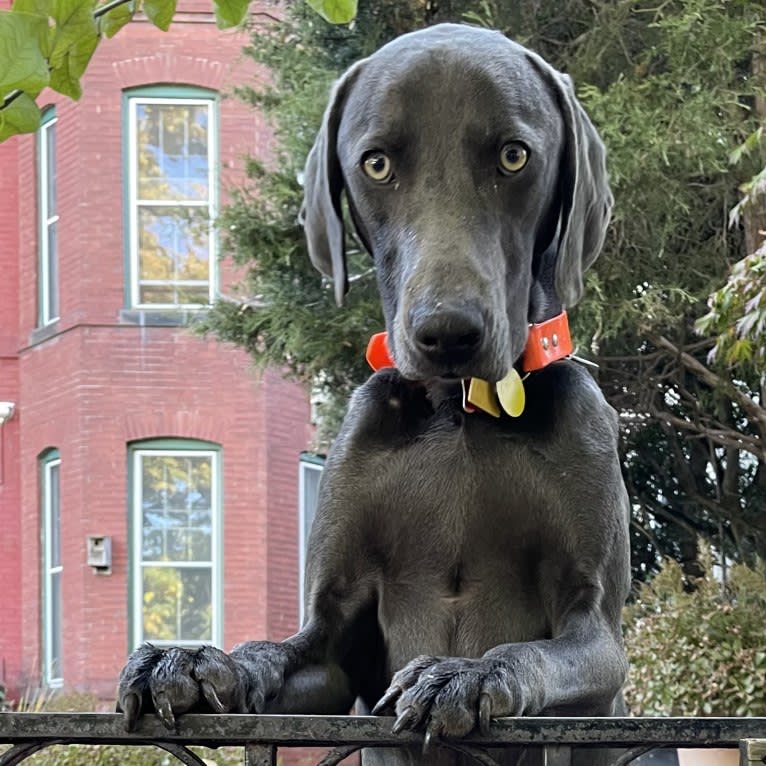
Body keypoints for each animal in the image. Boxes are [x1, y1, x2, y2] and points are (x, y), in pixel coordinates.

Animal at [120, 24, 632, 766]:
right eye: (378, 164)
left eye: (514, 156)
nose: (447, 333)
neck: (457, 413)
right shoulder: (336, 635)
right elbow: (275, 650)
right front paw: (193, 659)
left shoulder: (595, 630)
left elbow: (534, 650)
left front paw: (466, 672)